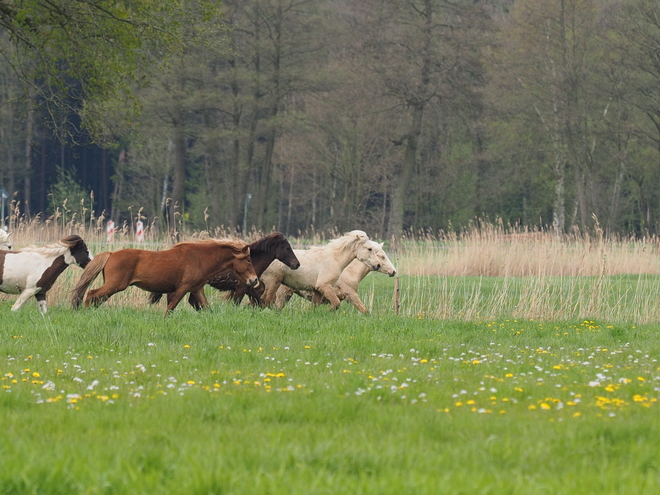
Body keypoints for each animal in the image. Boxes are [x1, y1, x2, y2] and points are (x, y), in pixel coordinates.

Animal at [69, 238, 260, 316]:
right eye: (248, 259)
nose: (254, 280)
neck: (200, 258)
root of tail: (111, 253)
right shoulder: (182, 288)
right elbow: (170, 308)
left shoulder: (197, 289)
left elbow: (206, 308)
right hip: (114, 286)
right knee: (91, 294)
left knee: (96, 298)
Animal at [148, 233, 300, 310]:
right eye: (287, 248)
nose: (296, 264)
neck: (252, 261)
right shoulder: (241, 288)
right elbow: (237, 304)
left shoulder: (248, 287)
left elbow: (259, 301)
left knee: (192, 301)